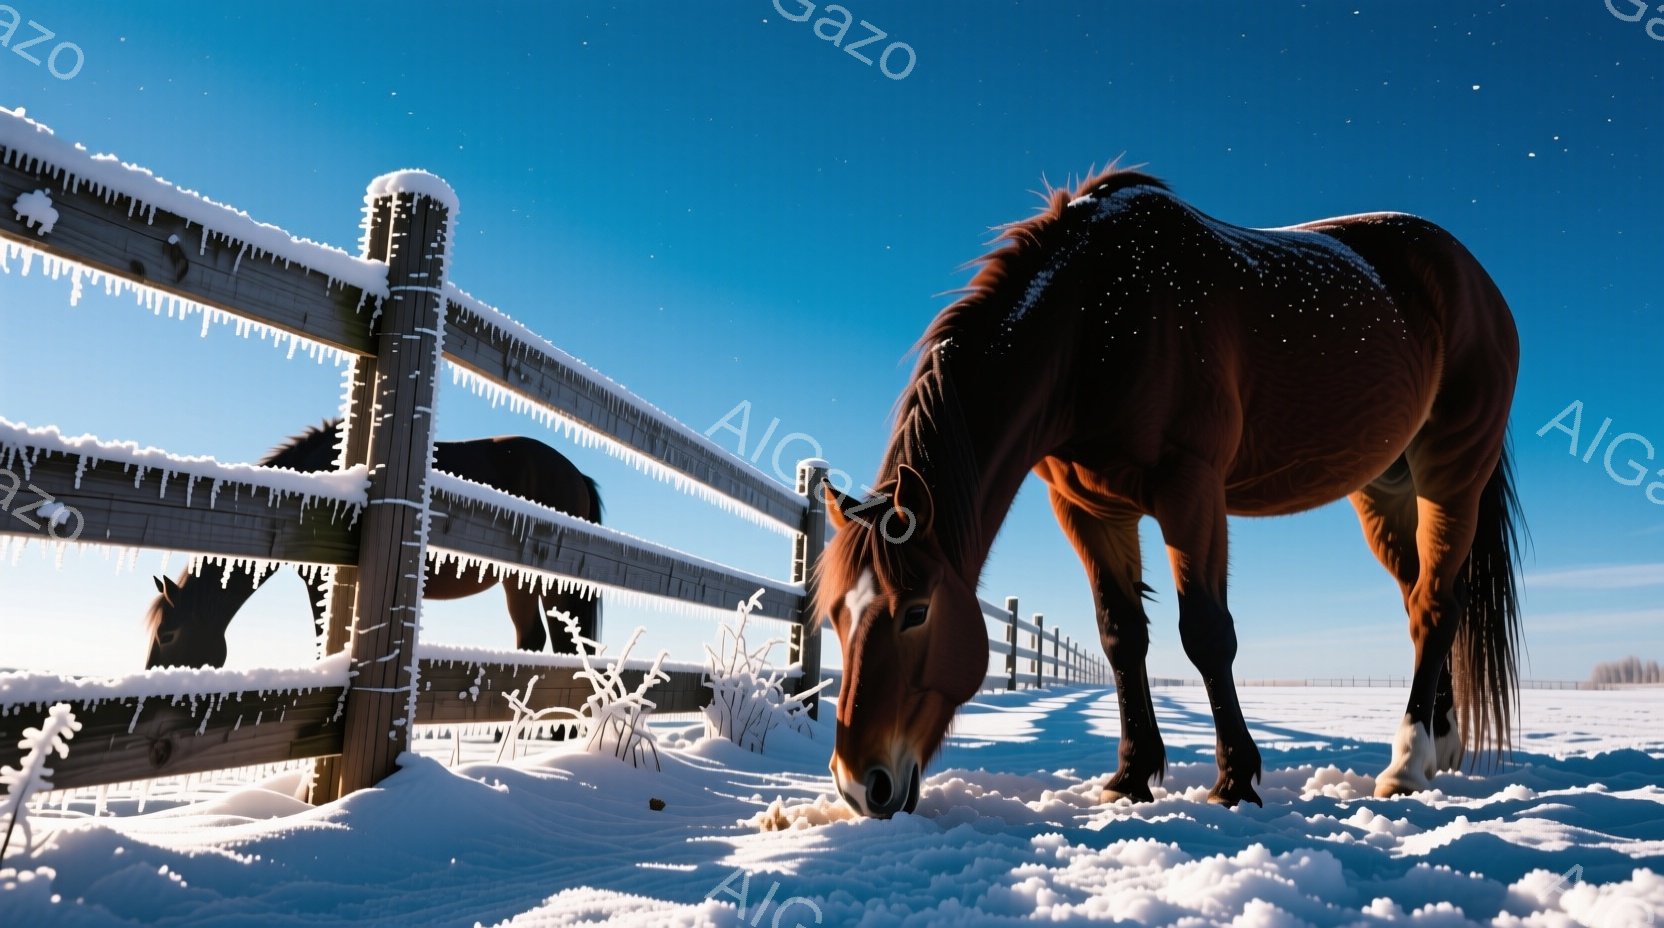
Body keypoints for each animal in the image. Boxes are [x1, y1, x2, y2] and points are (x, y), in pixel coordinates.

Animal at [145, 418, 603, 668]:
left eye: (167, 634)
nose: (151, 675)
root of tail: (577, 474)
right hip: (518, 582)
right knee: (535, 643)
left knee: (565, 649)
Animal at [815, 166, 1523, 818]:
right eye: (836, 616)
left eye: (915, 612)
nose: (860, 784)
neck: (1095, 319)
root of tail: (1476, 281)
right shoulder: (1089, 509)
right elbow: (1121, 635)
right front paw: (1130, 777)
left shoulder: (1192, 491)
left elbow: (1206, 632)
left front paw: (1234, 781)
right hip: (1384, 491)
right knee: (1428, 600)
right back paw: (1440, 748)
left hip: (1451, 472)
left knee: (1433, 607)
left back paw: (1404, 764)